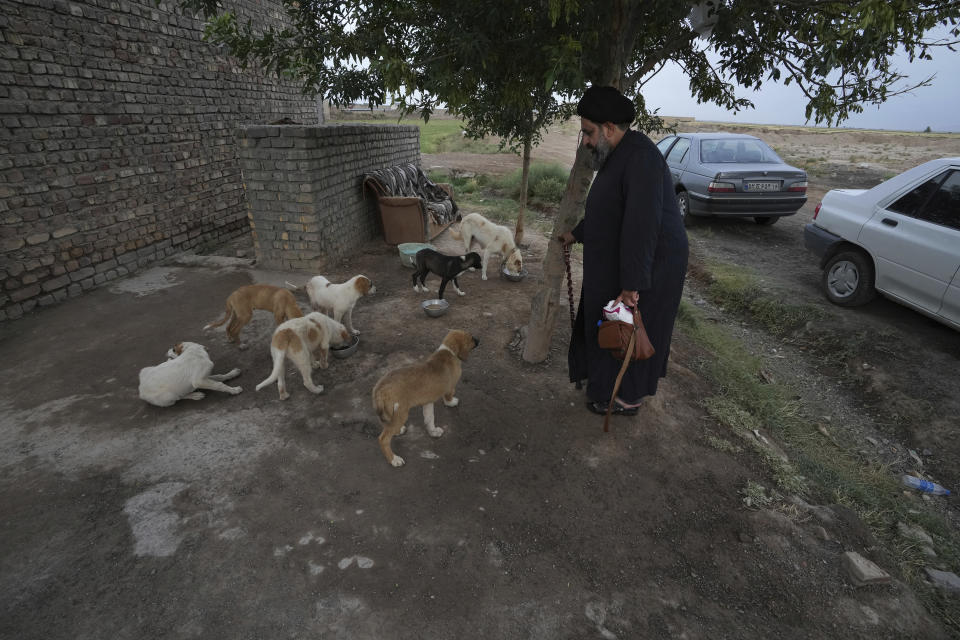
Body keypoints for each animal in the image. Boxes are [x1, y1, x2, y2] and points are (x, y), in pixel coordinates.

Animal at [370, 328, 478, 468]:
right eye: (471, 338)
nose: (479, 340)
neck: (448, 351)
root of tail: (380, 389)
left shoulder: (428, 401)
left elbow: (429, 418)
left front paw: (433, 432)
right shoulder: (450, 387)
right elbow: (449, 396)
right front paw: (451, 402)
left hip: (390, 413)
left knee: (388, 427)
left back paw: (398, 430)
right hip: (401, 412)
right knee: (383, 439)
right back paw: (394, 459)